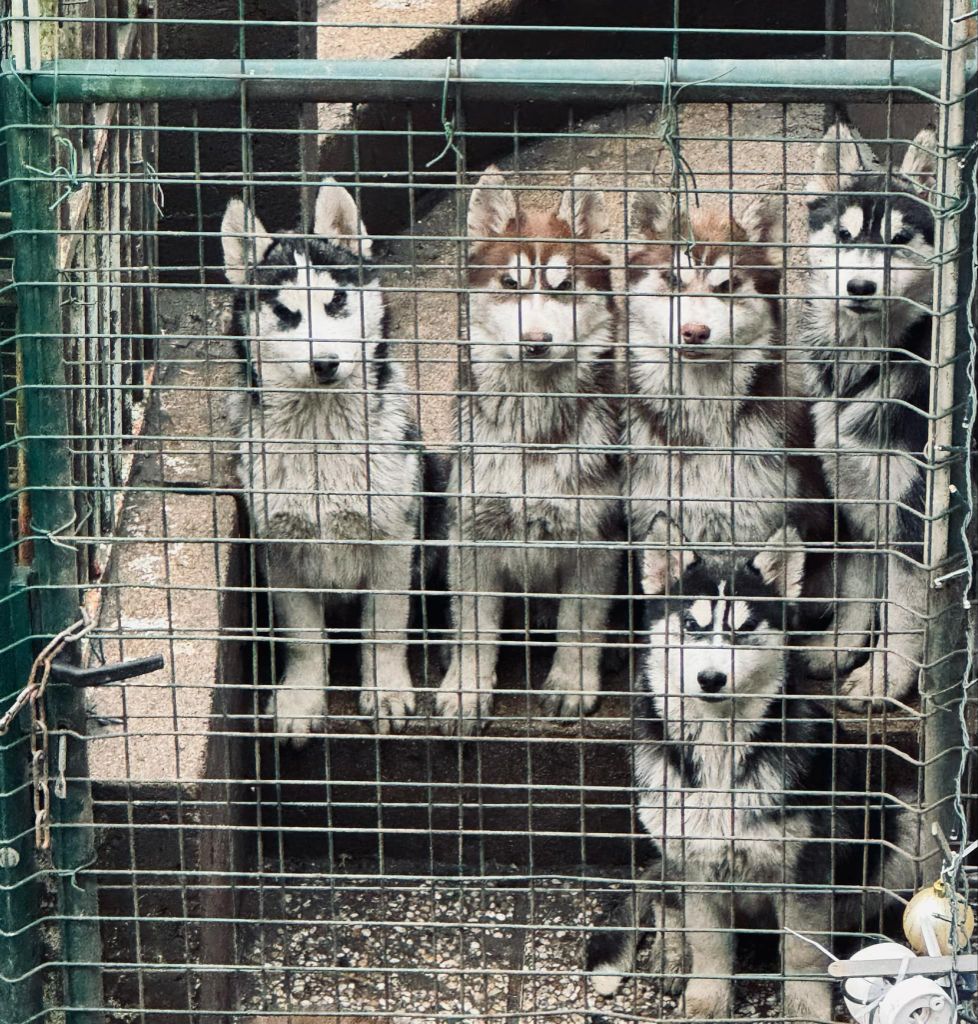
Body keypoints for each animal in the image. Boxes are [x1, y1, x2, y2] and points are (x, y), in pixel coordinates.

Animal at [222, 184, 436, 741]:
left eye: (336, 300)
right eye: (285, 312)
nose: (325, 363)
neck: (321, 437)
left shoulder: (393, 541)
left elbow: (385, 625)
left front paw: (386, 690)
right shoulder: (280, 550)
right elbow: (303, 636)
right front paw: (302, 697)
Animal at [434, 165, 618, 729]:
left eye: (565, 288)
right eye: (510, 285)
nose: (535, 342)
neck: (533, 437)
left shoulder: (592, 542)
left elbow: (578, 625)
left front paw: (572, 682)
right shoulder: (472, 534)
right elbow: (474, 627)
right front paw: (466, 689)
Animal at [589, 532, 917, 1019]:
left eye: (743, 630)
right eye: (692, 625)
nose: (710, 678)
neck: (720, 747)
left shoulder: (804, 872)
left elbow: (802, 953)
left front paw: (806, 1011)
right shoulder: (698, 864)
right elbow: (708, 943)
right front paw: (706, 1001)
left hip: (903, 824)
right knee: (666, 904)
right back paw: (672, 955)